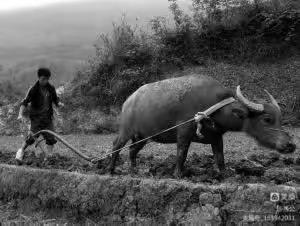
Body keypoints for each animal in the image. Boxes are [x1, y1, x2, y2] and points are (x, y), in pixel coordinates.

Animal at [109, 74, 296, 177]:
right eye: (267, 119)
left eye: (280, 119)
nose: (290, 145)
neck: (214, 107)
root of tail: (128, 101)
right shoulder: (184, 132)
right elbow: (182, 153)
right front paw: (178, 174)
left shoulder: (217, 136)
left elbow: (220, 156)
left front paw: (224, 173)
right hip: (126, 131)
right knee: (116, 146)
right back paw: (111, 170)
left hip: (143, 137)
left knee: (132, 150)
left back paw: (134, 170)